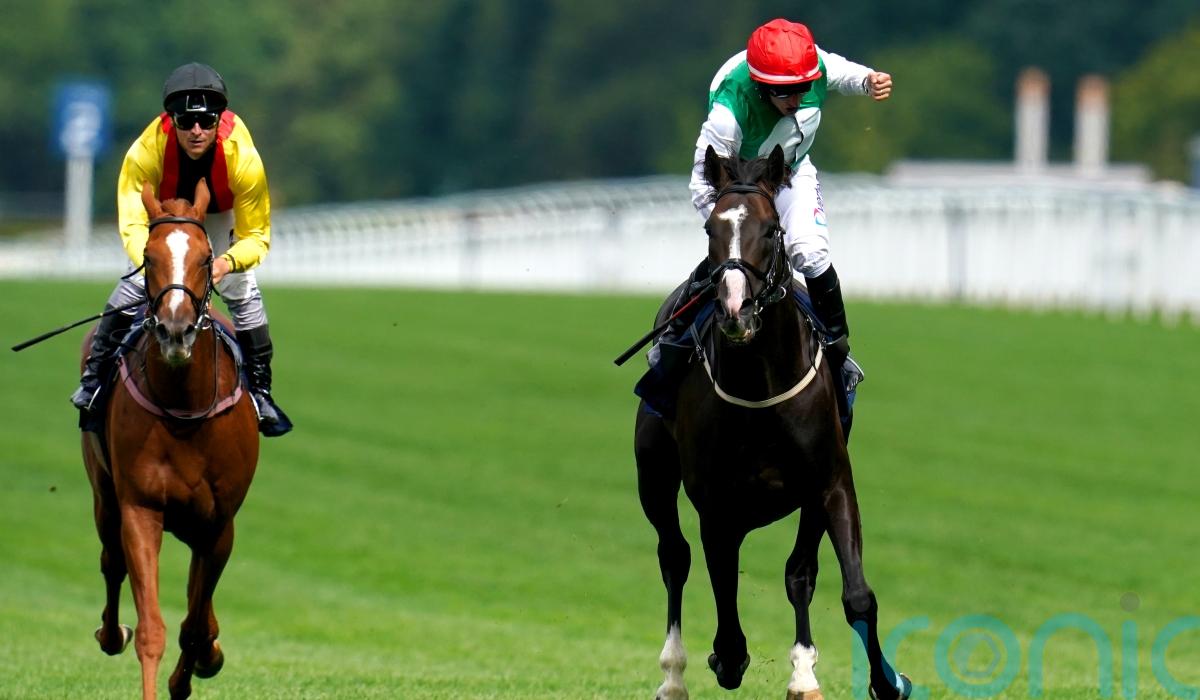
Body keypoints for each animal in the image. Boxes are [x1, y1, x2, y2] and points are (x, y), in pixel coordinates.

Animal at [81, 179, 260, 700]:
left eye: (204, 258)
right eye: (149, 254)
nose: (175, 330)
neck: (185, 411)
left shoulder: (220, 524)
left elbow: (195, 623)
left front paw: (202, 660)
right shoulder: (141, 508)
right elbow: (153, 629)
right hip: (104, 494)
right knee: (111, 560)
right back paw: (110, 632)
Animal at [633, 145, 911, 700]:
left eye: (771, 230)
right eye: (710, 230)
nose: (734, 309)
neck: (760, 386)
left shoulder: (829, 481)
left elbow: (844, 589)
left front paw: (879, 681)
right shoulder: (715, 501)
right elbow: (722, 589)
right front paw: (726, 658)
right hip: (653, 474)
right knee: (675, 556)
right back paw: (674, 675)